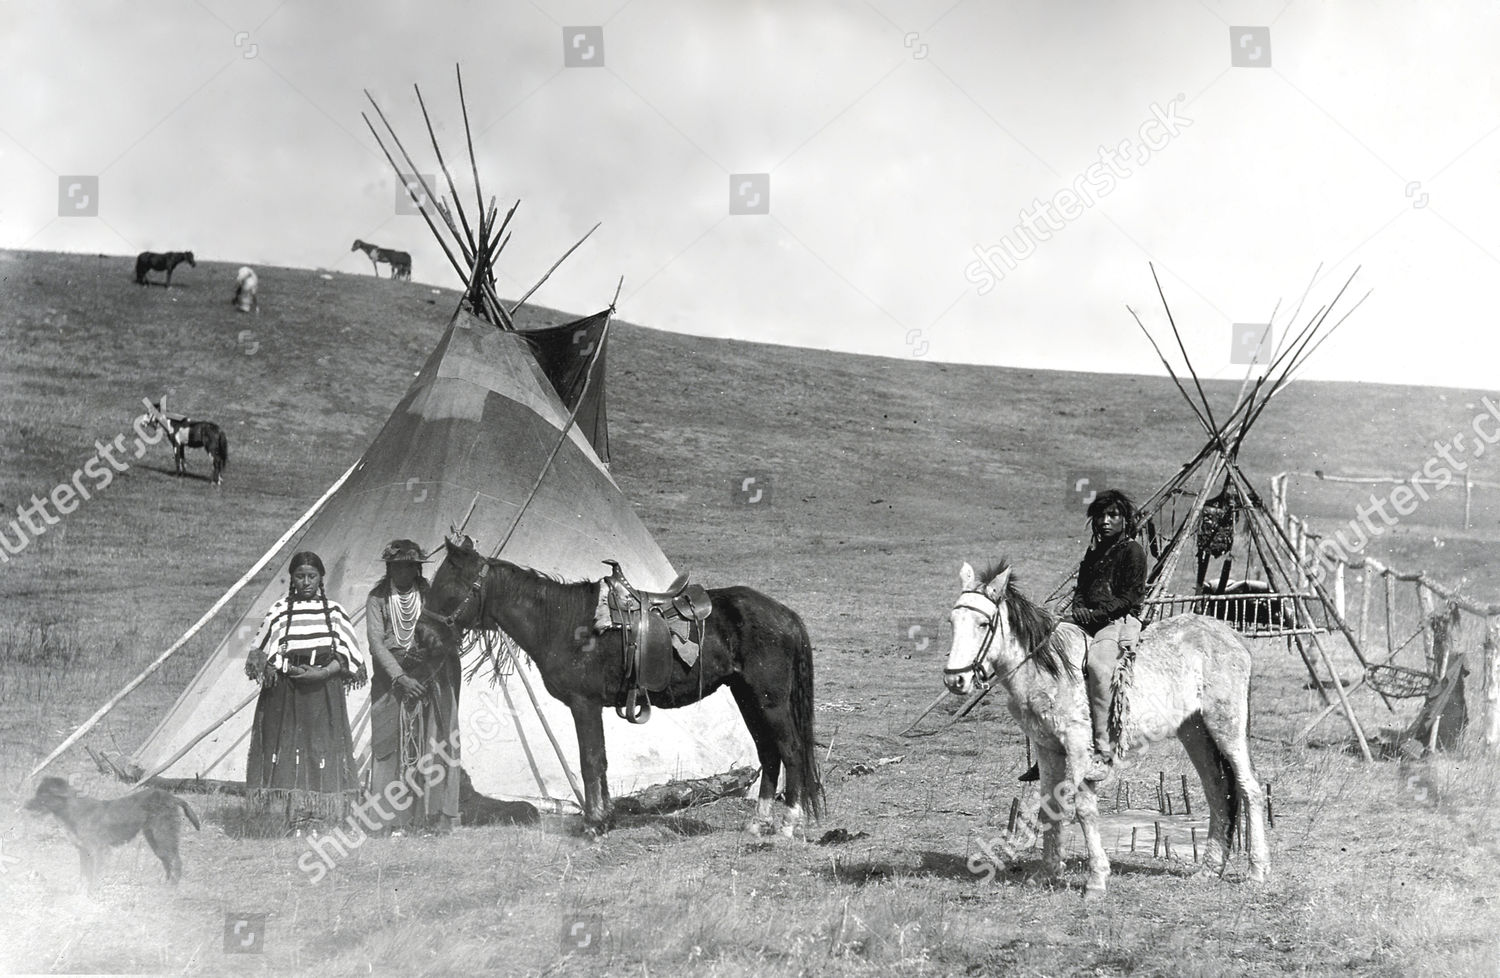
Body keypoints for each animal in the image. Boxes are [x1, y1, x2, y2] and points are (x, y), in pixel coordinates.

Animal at [25, 774, 202, 888]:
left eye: (43, 794)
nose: (24, 805)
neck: (72, 810)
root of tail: (171, 797)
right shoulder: (83, 850)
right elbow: (84, 874)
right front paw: (81, 892)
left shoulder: (98, 851)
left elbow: (94, 875)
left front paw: (92, 894)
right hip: (155, 839)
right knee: (167, 861)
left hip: (163, 836)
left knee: (176, 861)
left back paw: (172, 887)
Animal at [420, 540, 822, 834]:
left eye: (447, 587)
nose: (424, 635)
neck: (563, 623)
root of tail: (784, 614)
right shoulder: (590, 706)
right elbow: (599, 761)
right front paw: (604, 818)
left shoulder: (583, 703)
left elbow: (589, 762)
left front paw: (594, 824)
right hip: (748, 696)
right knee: (769, 753)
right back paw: (759, 823)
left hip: (769, 699)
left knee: (791, 751)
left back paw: (790, 823)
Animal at [942, 558, 1272, 900]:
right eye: (953, 621)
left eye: (984, 624)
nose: (955, 679)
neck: (1048, 668)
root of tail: (1231, 637)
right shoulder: (1048, 749)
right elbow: (1050, 807)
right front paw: (1047, 873)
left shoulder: (1077, 748)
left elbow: (1080, 809)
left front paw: (1095, 880)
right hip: (1194, 732)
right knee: (1218, 791)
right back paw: (1209, 869)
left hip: (1226, 725)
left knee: (1249, 788)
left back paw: (1257, 871)